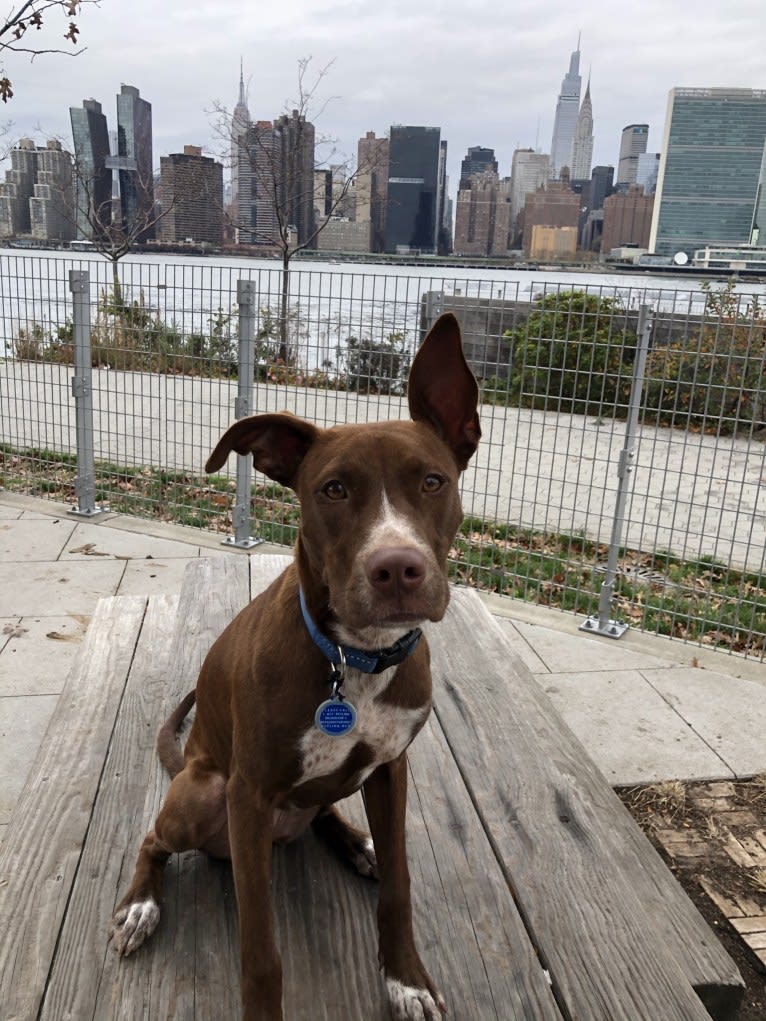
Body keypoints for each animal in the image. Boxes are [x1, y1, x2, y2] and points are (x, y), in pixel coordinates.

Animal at [109, 312, 480, 1021]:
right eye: (332, 490)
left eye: (433, 481)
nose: (397, 568)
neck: (355, 658)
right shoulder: (249, 796)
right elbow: (260, 947)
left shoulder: (390, 768)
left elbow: (400, 888)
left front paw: (407, 978)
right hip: (204, 793)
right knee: (152, 840)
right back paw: (140, 905)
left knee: (325, 813)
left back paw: (357, 842)